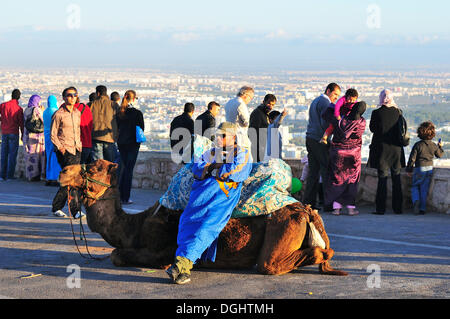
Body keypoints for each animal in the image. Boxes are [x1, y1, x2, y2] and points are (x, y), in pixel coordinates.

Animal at [59, 160, 348, 278]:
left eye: (94, 166)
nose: (62, 172)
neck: (136, 226)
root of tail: (307, 210)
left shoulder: (162, 248)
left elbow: (117, 254)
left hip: (283, 226)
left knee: (272, 263)